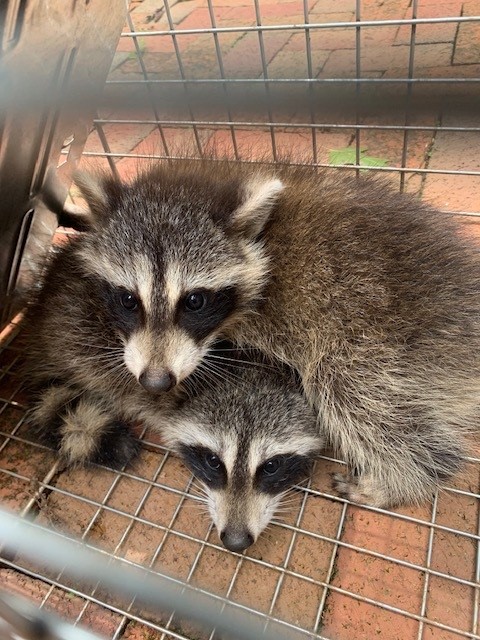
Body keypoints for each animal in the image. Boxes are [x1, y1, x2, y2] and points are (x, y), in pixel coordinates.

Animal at [26, 158, 480, 508]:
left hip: (385, 333)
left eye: (194, 301)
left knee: (356, 393)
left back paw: (408, 476)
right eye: (127, 299)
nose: (155, 381)